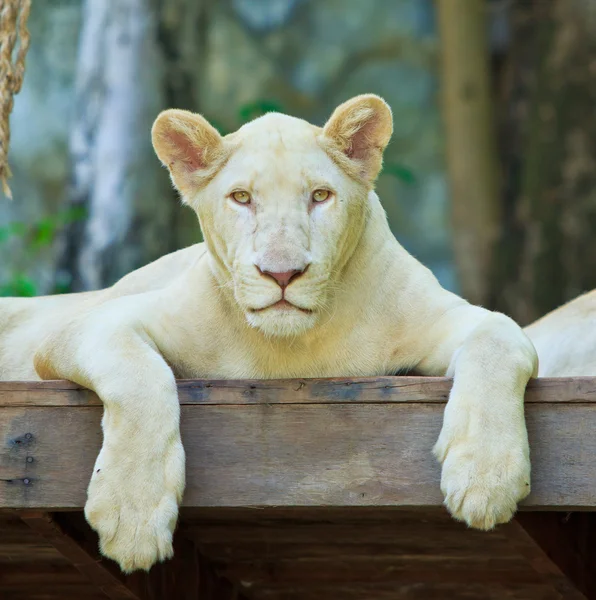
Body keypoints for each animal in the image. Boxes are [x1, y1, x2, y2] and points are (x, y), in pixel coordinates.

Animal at [0, 96, 584, 576]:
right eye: (241, 198)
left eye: (320, 196)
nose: (282, 273)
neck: (295, 345)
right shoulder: (94, 323)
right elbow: (142, 376)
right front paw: (133, 515)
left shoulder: (451, 317)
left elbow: (500, 337)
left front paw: (486, 476)